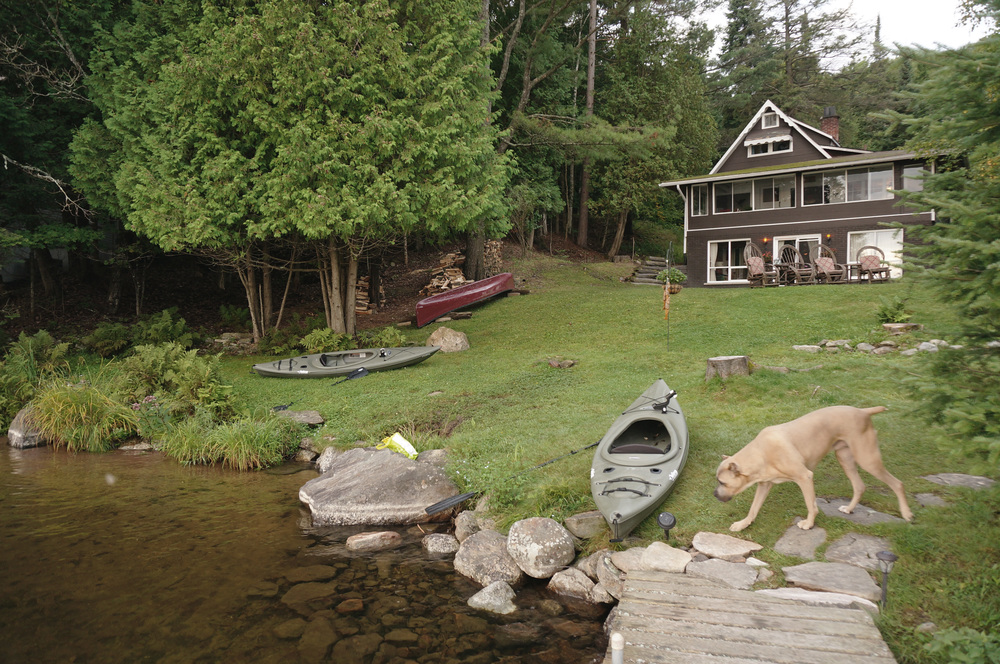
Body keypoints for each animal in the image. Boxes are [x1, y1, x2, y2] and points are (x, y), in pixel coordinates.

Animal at [712, 402, 916, 532]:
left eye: (722, 482)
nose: (714, 494)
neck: (761, 453)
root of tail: (863, 411)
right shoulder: (764, 484)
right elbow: (753, 509)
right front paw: (743, 524)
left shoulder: (805, 477)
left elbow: (811, 505)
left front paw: (808, 524)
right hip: (845, 459)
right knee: (859, 486)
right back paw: (849, 509)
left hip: (868, 460)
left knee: (897, 483)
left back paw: (906, 514)